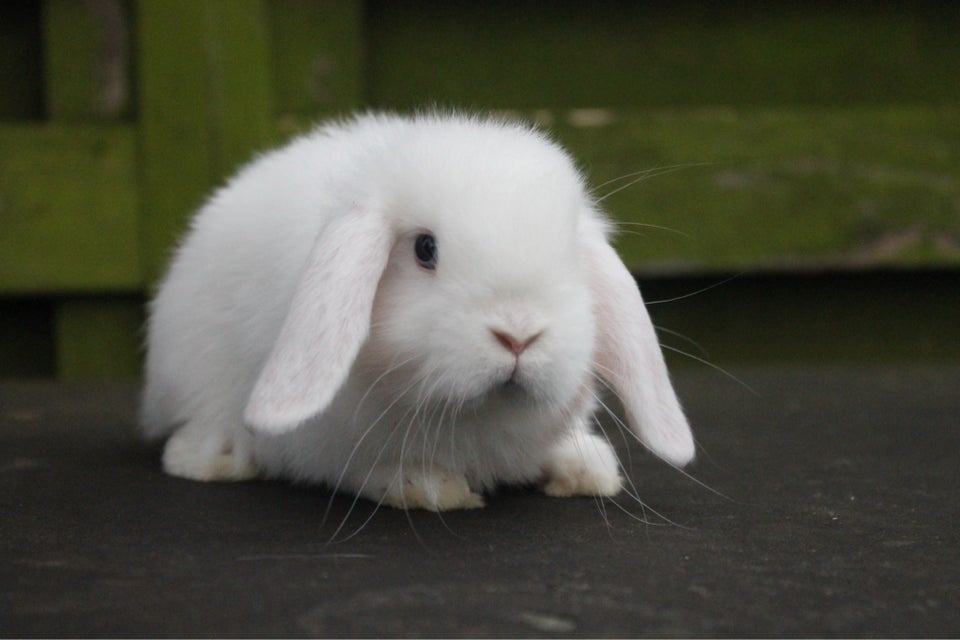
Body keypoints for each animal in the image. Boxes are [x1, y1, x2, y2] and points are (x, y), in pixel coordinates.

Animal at [142, 110, 692, 510]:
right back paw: (210, 455)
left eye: (571, 255)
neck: (474, 418)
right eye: (425, 249)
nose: (518, 334)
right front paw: (429, 488)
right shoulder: (326, 446)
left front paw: (586, 469)